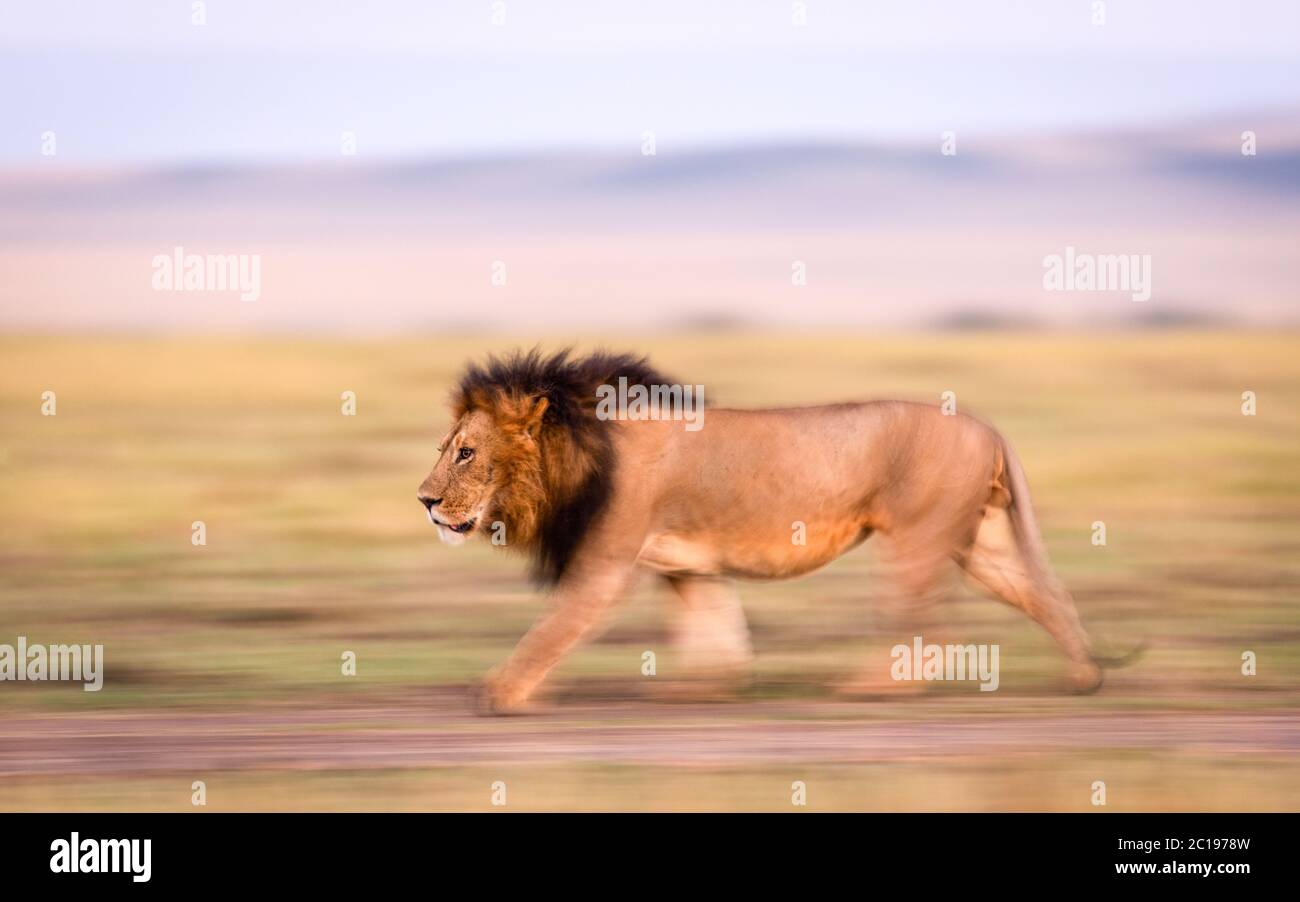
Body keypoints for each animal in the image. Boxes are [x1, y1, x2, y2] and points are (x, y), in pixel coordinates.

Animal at [418, 348, 1138, 712]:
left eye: (466, 453)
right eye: (445, 447)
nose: (424, 501)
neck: (579, 448)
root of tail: (988, 427)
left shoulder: (606, 562)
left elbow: (552, 628)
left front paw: (500, 693)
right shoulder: (689, 564)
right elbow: (715, 632)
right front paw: (704, 689)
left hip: (918, 536)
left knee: (928, 627)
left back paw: (874, 689)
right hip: (978, 539)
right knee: (1043, 593)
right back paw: (1085, 675)